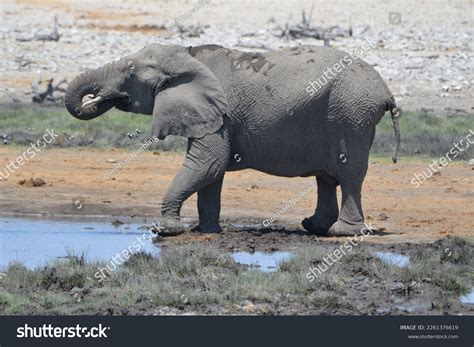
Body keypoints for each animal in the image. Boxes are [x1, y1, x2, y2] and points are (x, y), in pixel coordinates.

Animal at [65, 43, 400, 238]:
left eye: (131, 72)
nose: (100, 96)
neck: (189, 56)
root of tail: (386, 89)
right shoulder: (210, 114)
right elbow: (210, 173)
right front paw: (205, 231)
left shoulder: (220, 114)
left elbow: (207, 164)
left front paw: (164, 230)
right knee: (327, 177)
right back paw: (313, 227)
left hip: (350, 114)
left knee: (349, 173)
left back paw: (340, 232)